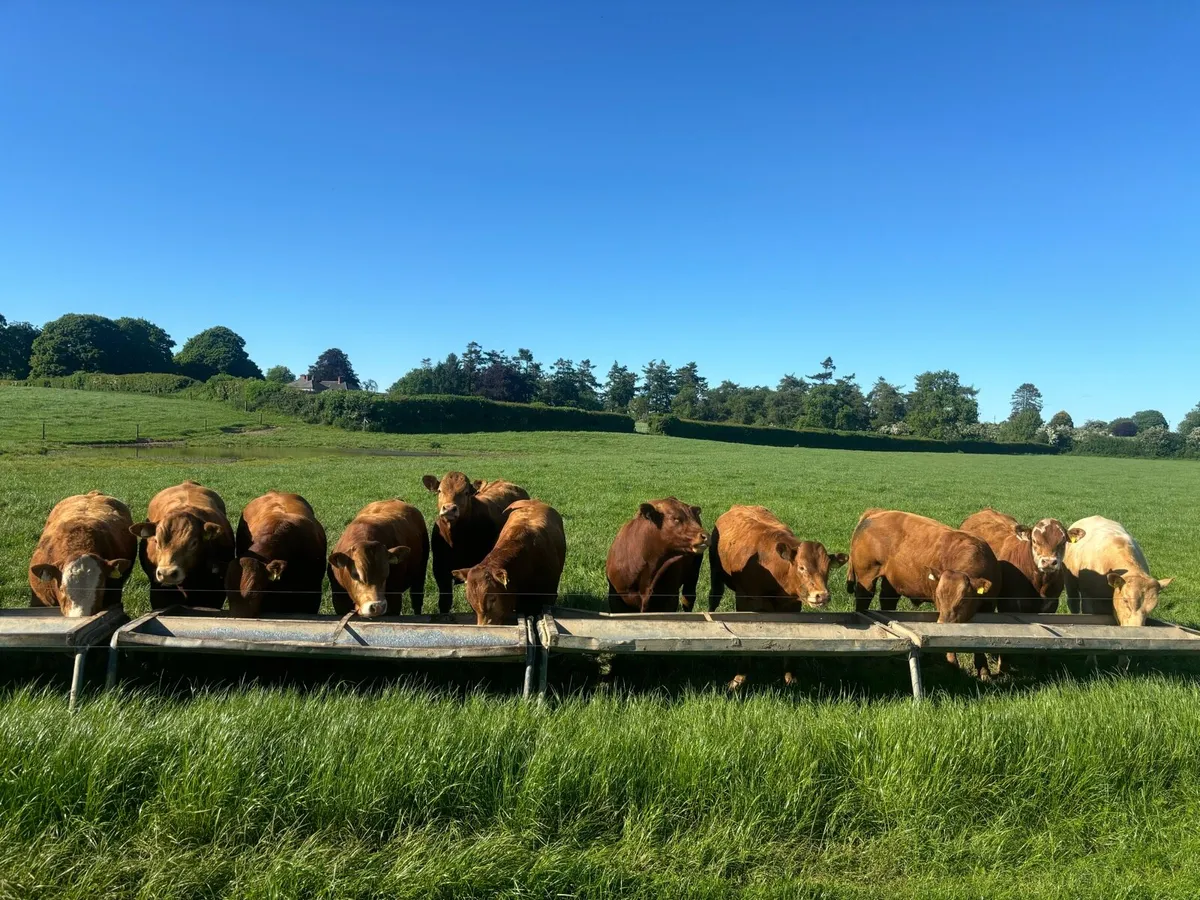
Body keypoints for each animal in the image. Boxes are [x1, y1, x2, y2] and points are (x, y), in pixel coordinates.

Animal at [422, 472, 529, 614]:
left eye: (466, 492)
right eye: (440, 490)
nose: (449, 509)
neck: (456, 541)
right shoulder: (441, 572)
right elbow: (444, 603)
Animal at [708, 505, 848, 690]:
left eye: (828, 568)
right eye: (802, 567)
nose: (822, 596)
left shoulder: (792, 607)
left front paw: (790, 677)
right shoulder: (745, 601)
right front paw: (739, 677)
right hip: (716, 576)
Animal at [847, 509, 999, 679]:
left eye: (963, 600)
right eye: (938, 597)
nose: (942, 623)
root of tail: (878, 511)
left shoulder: (989, 606)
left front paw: (984, 670)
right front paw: (952, 664)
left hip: (891, 582)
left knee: (887, 601)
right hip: (866, 578)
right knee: (863, 601)